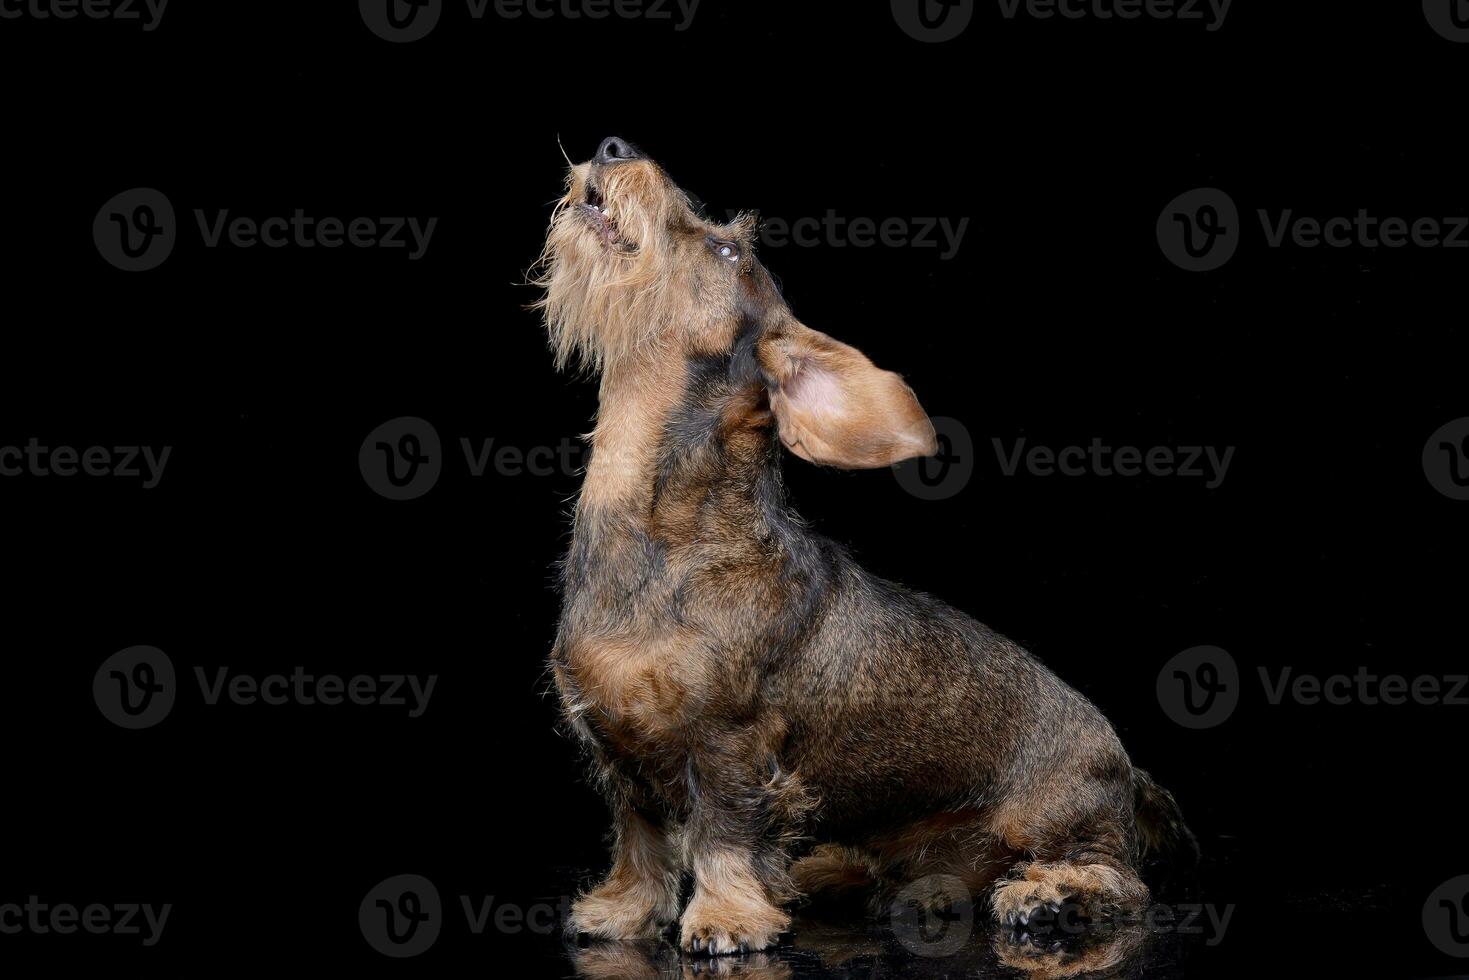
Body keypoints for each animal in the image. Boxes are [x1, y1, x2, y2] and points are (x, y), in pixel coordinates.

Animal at [534, 134, 1198, 952]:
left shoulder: (731, 743)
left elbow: (723, 834)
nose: (613, 147)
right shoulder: (618, 747)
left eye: (726, 248)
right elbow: (641, 838)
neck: (665, 537)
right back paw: (837, 874)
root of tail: (1129, 770)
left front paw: (725, 915)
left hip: (1049, 821)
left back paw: (1045, 892)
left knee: (1118, 882)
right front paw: (624, 909)